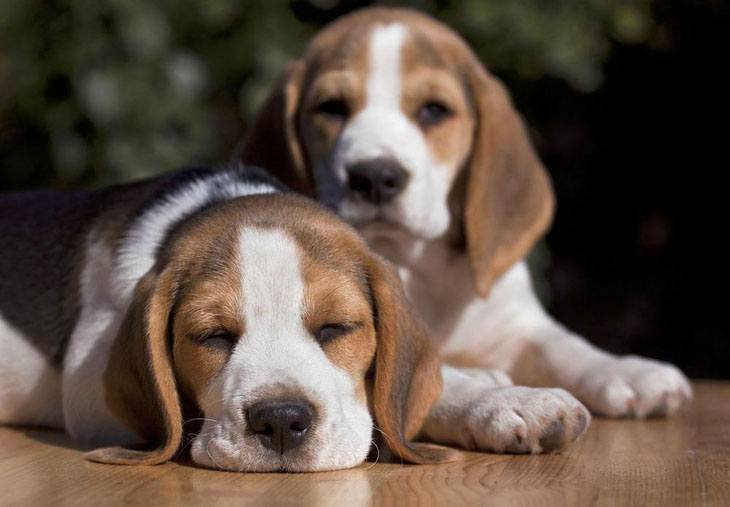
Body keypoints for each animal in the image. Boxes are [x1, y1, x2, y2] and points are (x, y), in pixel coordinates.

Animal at [242, 4, 692, 452]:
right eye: (332, 107)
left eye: (434, 110)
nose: (374, 175)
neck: (412, 263)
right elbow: (437, 384)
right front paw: (511, 400)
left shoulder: (514, 322)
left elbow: (565, 345)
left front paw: (628, 370)